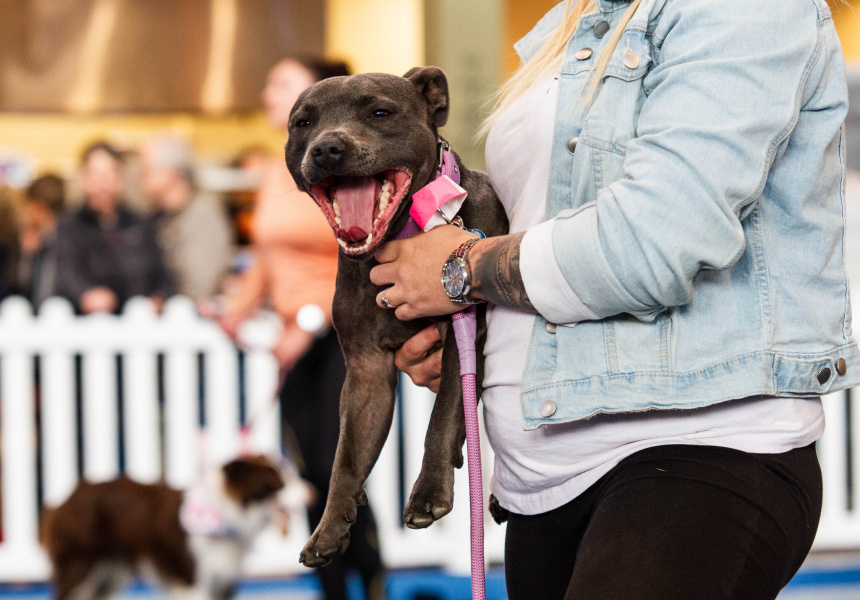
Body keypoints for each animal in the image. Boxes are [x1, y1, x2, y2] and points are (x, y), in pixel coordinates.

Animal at [43, 458, 288, 596]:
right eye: (275, 482)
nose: (303, 492)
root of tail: (72, 494)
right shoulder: (191, 580)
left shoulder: (222, 579)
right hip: (80, 563)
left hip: (109, 571)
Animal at [286, 67, 508, 568]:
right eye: (302, 123)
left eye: (380, 112)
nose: (327, 148)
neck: (404, 234)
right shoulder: (366, 373)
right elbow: (346, 456)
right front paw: (331, 526)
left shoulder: (464, 337)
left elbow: (443, 414)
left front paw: (428, 493)